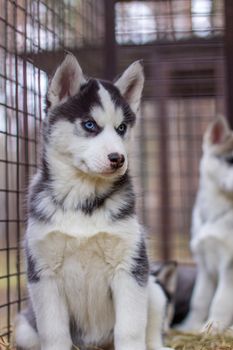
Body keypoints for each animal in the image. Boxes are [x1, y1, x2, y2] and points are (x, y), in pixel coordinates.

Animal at [14, 52, 171, 350]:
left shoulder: (130, 267)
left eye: (122, 128)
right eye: (89, 125)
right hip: (25, 329)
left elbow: (130, 330)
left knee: (152, 327)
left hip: (154, 290)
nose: (118, 158)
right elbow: (54, 332)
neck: (82, 200)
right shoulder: (43, 273)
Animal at [179, 116, 233, 332]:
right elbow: (199, 299)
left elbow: (221, 301)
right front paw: (190, 325)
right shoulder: (203, 264)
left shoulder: (229, 265)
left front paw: (213, 327)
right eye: (230, 161)